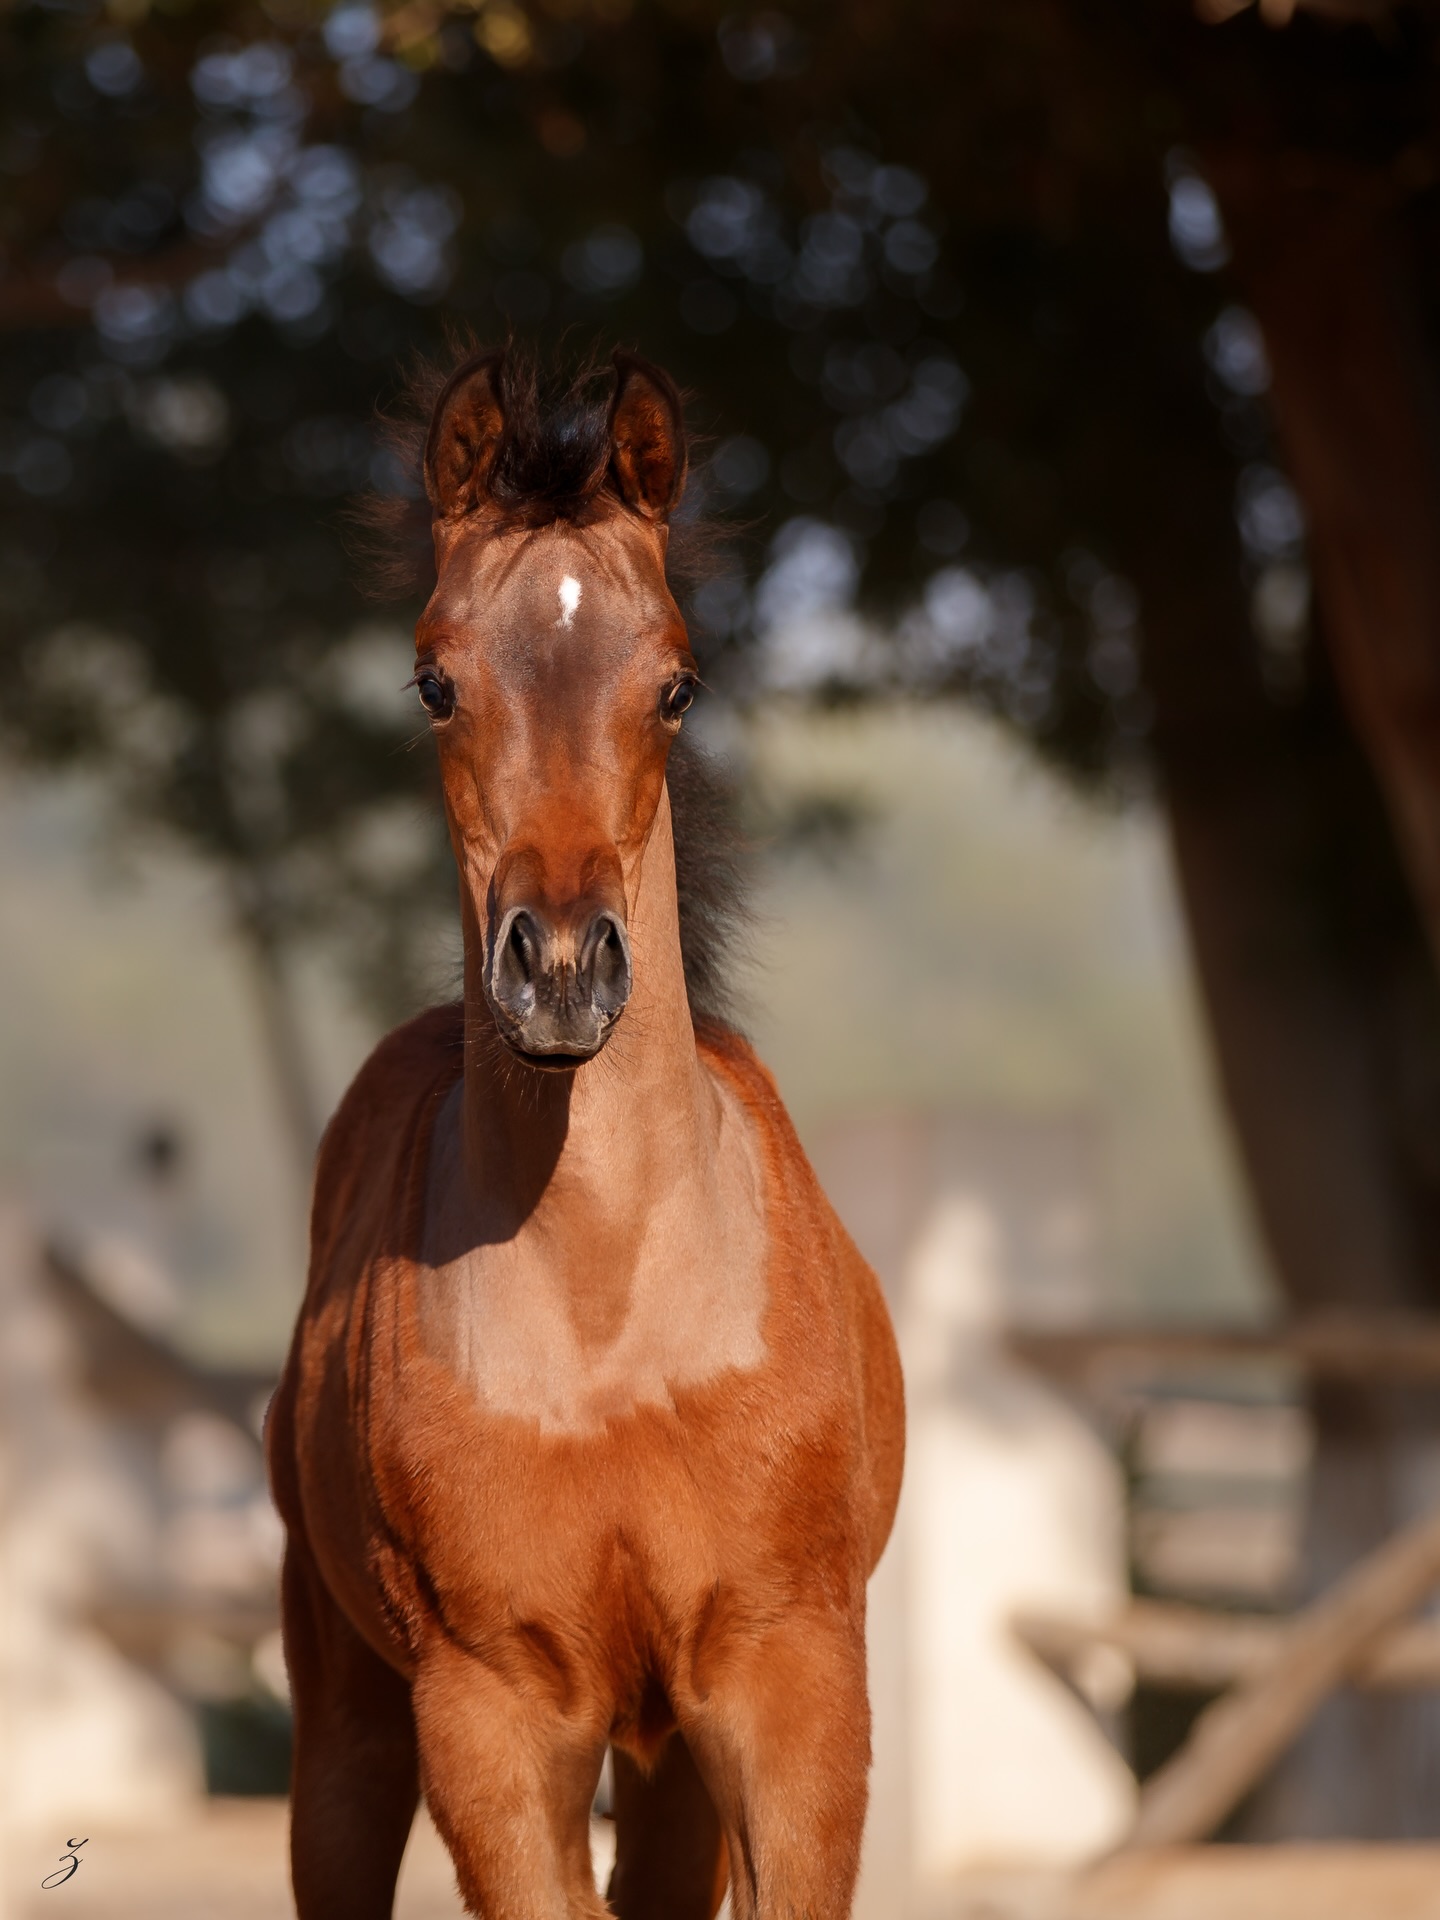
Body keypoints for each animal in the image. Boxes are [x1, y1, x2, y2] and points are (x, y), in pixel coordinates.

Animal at [265, 344, 905, 1920]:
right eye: (435, 679)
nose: (559, 969)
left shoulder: (793, 1690)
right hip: (349, 1721)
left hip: (668, 1757)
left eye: (677, 683)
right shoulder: (491, 1716)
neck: (613, 1300)